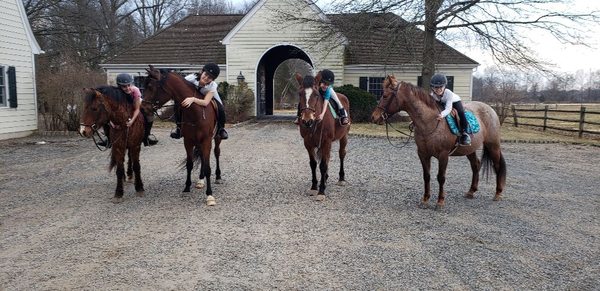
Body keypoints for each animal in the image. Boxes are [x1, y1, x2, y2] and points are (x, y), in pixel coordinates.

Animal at [143, 65, 223, 206]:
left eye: (151, 86)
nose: (142, 108)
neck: (195, 112)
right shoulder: (188, 141)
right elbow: (190, 164)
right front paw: (186, 187)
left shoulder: (206, 140)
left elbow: (208, 167)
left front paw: (209, 195)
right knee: (202, 157)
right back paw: (200, 180)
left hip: (216, 139)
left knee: (216, 153)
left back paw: (218, 176)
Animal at [296, 72, 352, 202]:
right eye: (300, 94)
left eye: (316, 94)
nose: (307, 120)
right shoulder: (308, 143)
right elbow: (313, 164)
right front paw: (314, 186)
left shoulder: (326, 141)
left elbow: (322, 165)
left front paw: (321, 191)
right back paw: (325, 177)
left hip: (344, 137)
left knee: (341, 154)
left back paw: (341, 178)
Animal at [370, 74, 506, 210]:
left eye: (385, 96)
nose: (374, 117)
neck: (430, 122)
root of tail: (490, 109)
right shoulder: (423, 154)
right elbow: (426, 176)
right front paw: (425, 200)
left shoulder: (443, 155)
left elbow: (441, 177)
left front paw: (440, 202)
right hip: (470, 149)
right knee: (476, 165)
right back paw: (471, 191)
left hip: (493, 145)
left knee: (497, 165)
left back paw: (498, 193)